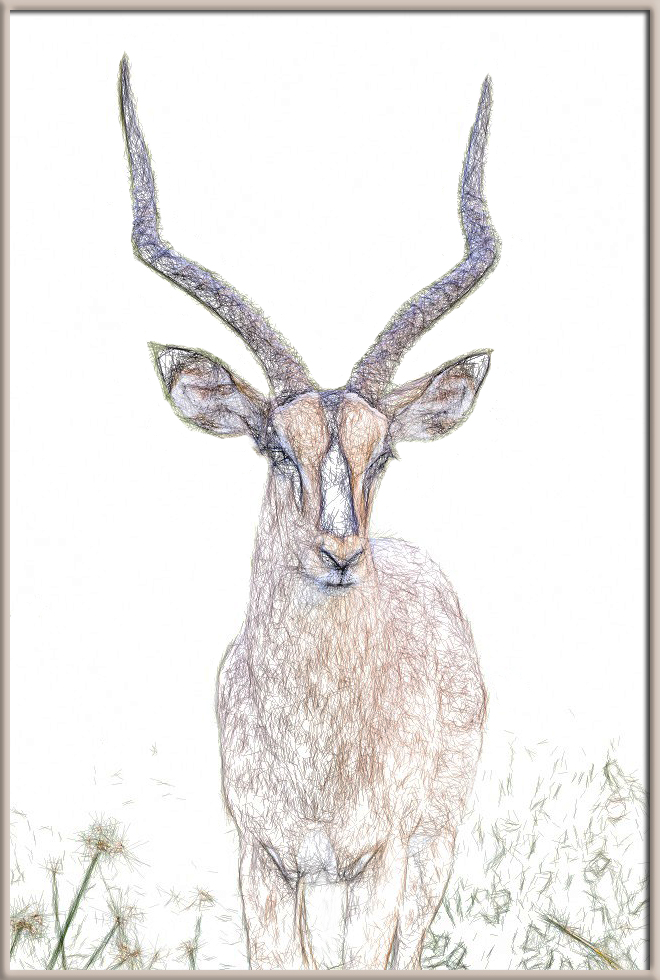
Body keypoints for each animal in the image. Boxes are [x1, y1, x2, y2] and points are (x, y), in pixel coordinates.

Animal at [120, 57, 498, 970]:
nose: (339, 553)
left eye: (383, 453)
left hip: (434, 849)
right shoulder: (264, 863)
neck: (317, 746)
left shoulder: (383, 864)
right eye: (275, 449)